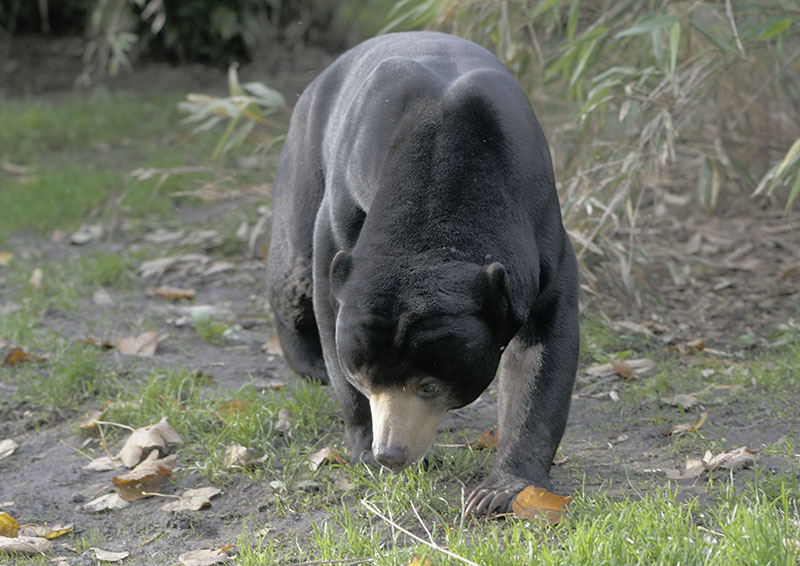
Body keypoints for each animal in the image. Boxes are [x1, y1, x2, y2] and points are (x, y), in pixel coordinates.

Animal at [266, 31, 579, 517]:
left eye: (430, 385)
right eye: (367, 377)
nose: (390, 454)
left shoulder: (539, 235)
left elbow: (542, 354)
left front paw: (502, 490)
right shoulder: (342, 209)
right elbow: (326, 294)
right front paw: (361, 448)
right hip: (303, 157)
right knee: (291, 276)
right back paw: (310, 363)